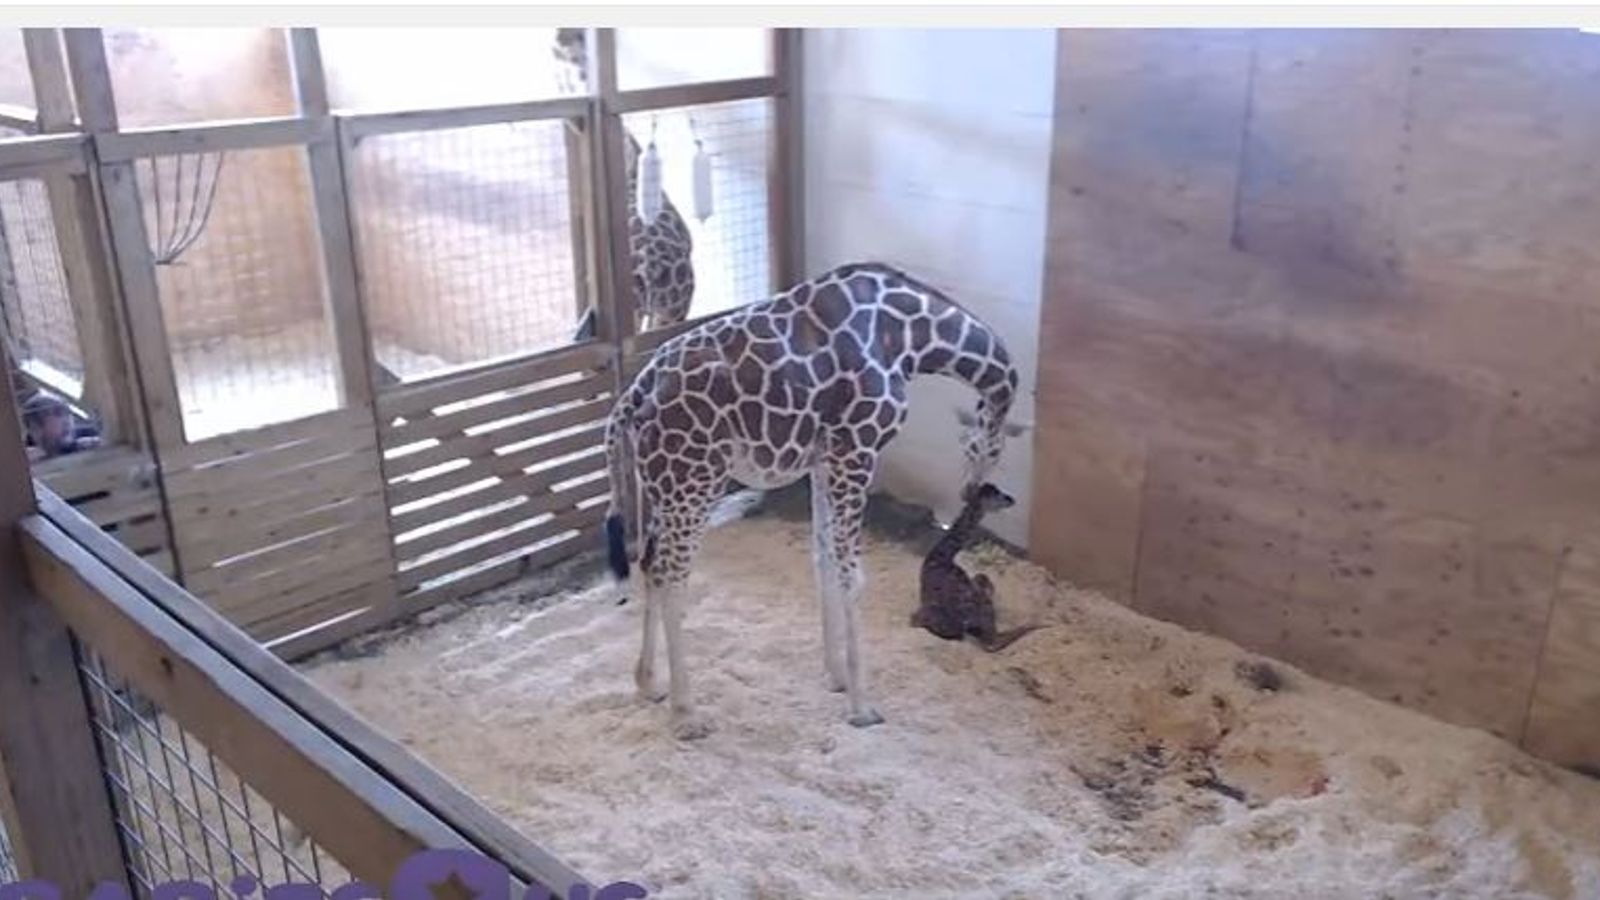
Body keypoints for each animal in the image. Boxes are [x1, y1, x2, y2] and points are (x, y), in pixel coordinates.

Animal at [603, 261, 1025, 739]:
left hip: (664, 488)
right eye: (981, 449)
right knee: (672, 576)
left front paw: (836, 677)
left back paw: (648, 684)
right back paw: (687, 714)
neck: (911, 336)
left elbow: (822, 560)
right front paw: (862, 706)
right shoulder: (856, 449)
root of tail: (634, 395)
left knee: (650, 564)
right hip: (694, 481)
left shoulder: (824, 459)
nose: (971, 491)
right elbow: (852, 577)